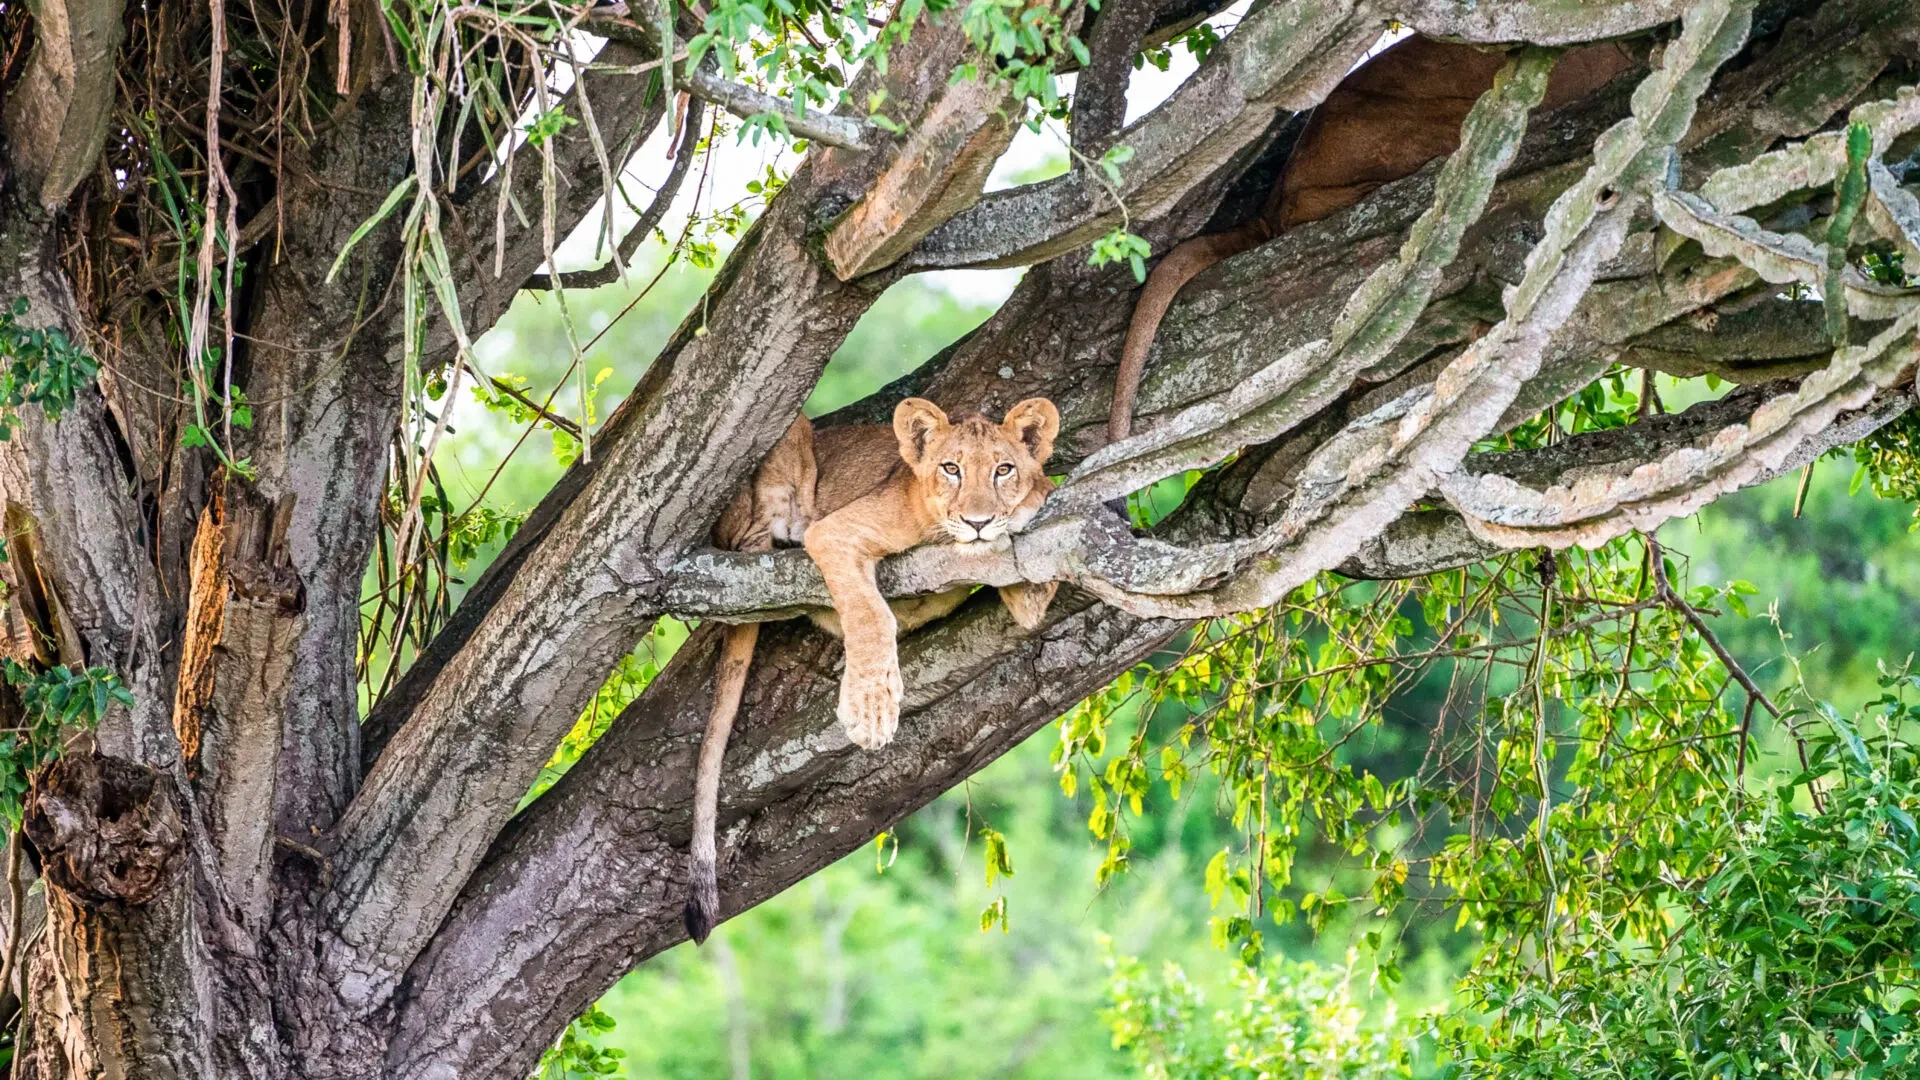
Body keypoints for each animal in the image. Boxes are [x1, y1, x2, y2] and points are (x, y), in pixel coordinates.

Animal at [685, 397, 1060, 942]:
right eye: (951, 468)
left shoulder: (1025, 592)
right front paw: (871, 711)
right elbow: (869, 613)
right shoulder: (836, 533)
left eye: (1003, 469)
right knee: (752, 544)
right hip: (788, 440)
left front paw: (1032, 500)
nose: (978, 521)